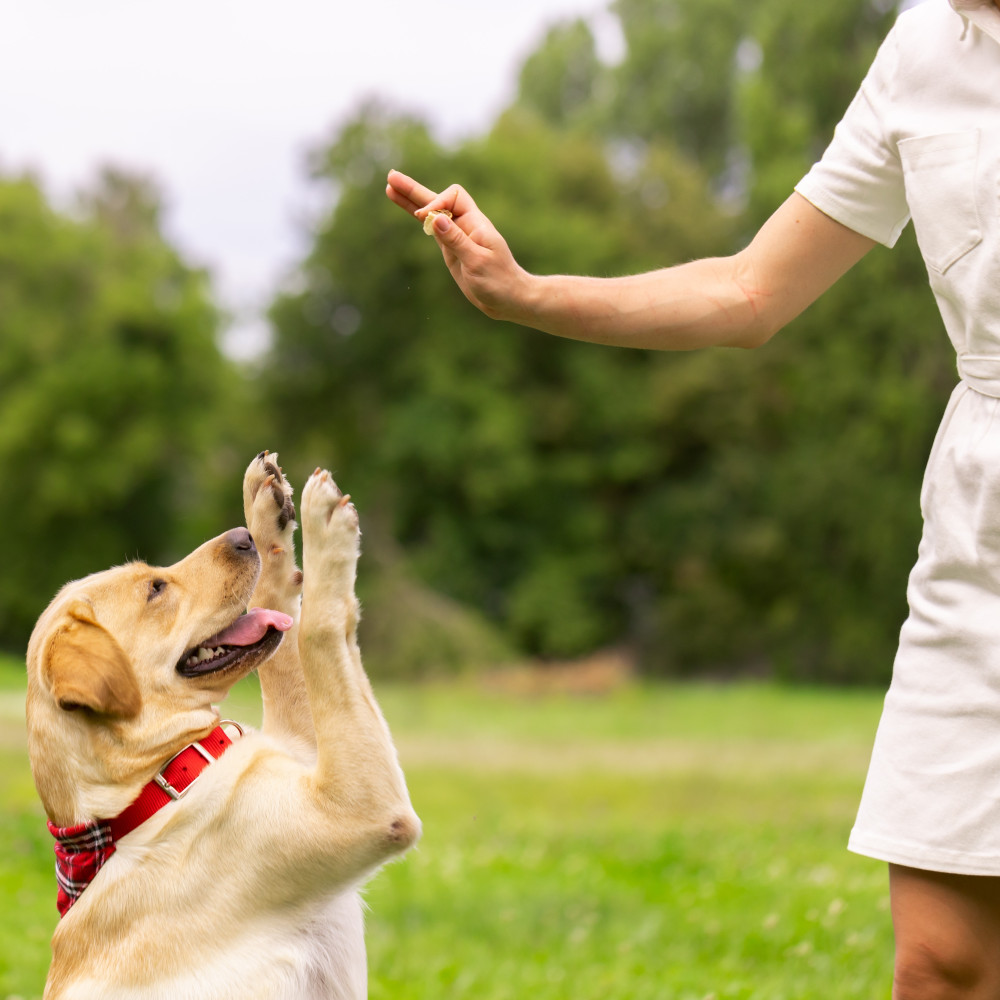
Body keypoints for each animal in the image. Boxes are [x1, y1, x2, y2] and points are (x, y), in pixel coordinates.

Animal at [24, 456, 422, 1000]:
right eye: (155, 588)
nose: (242, 536)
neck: (152, 788)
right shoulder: (358, 810)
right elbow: (318, 628)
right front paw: (325, 525)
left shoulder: (304, 749)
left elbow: (287, 651)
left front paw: (268, 514)